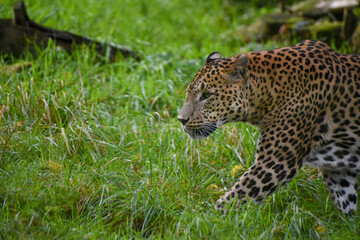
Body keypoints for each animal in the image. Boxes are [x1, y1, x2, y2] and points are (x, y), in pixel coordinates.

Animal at [178, 40, 360, 215]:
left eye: (206, 95)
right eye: (188, 92)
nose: (181, 119)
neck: (267, 92)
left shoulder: (275, 162)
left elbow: (235, 197)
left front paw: (203, 219)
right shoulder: (338, 172)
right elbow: (347, 204)